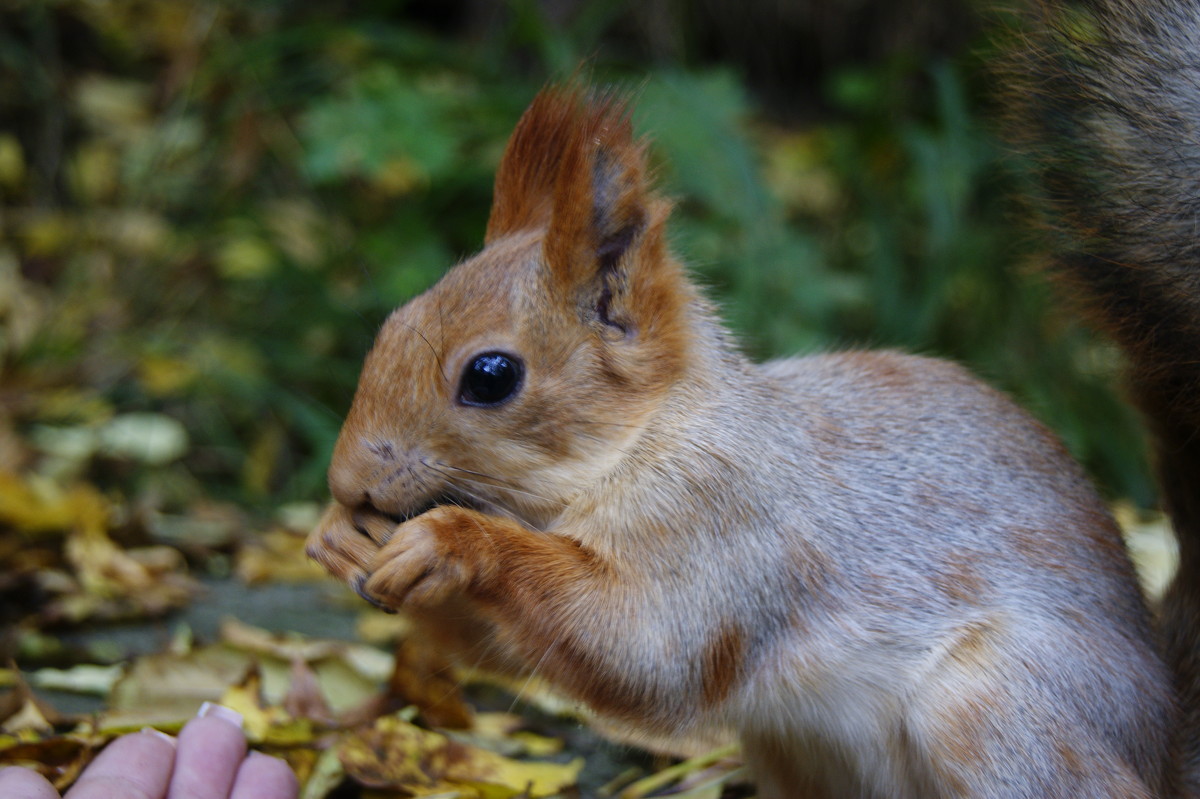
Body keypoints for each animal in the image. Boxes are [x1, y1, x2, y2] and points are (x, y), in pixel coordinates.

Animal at [307, 0, 1200, 791]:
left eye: (490, 376)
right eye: (394, 321)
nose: (346, 480)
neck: (643, 438)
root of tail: (1165, 742)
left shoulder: (733, 524)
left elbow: (643, 652)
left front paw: (450, 539)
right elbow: (503, 647)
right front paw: (336, 539)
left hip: (997, 712)